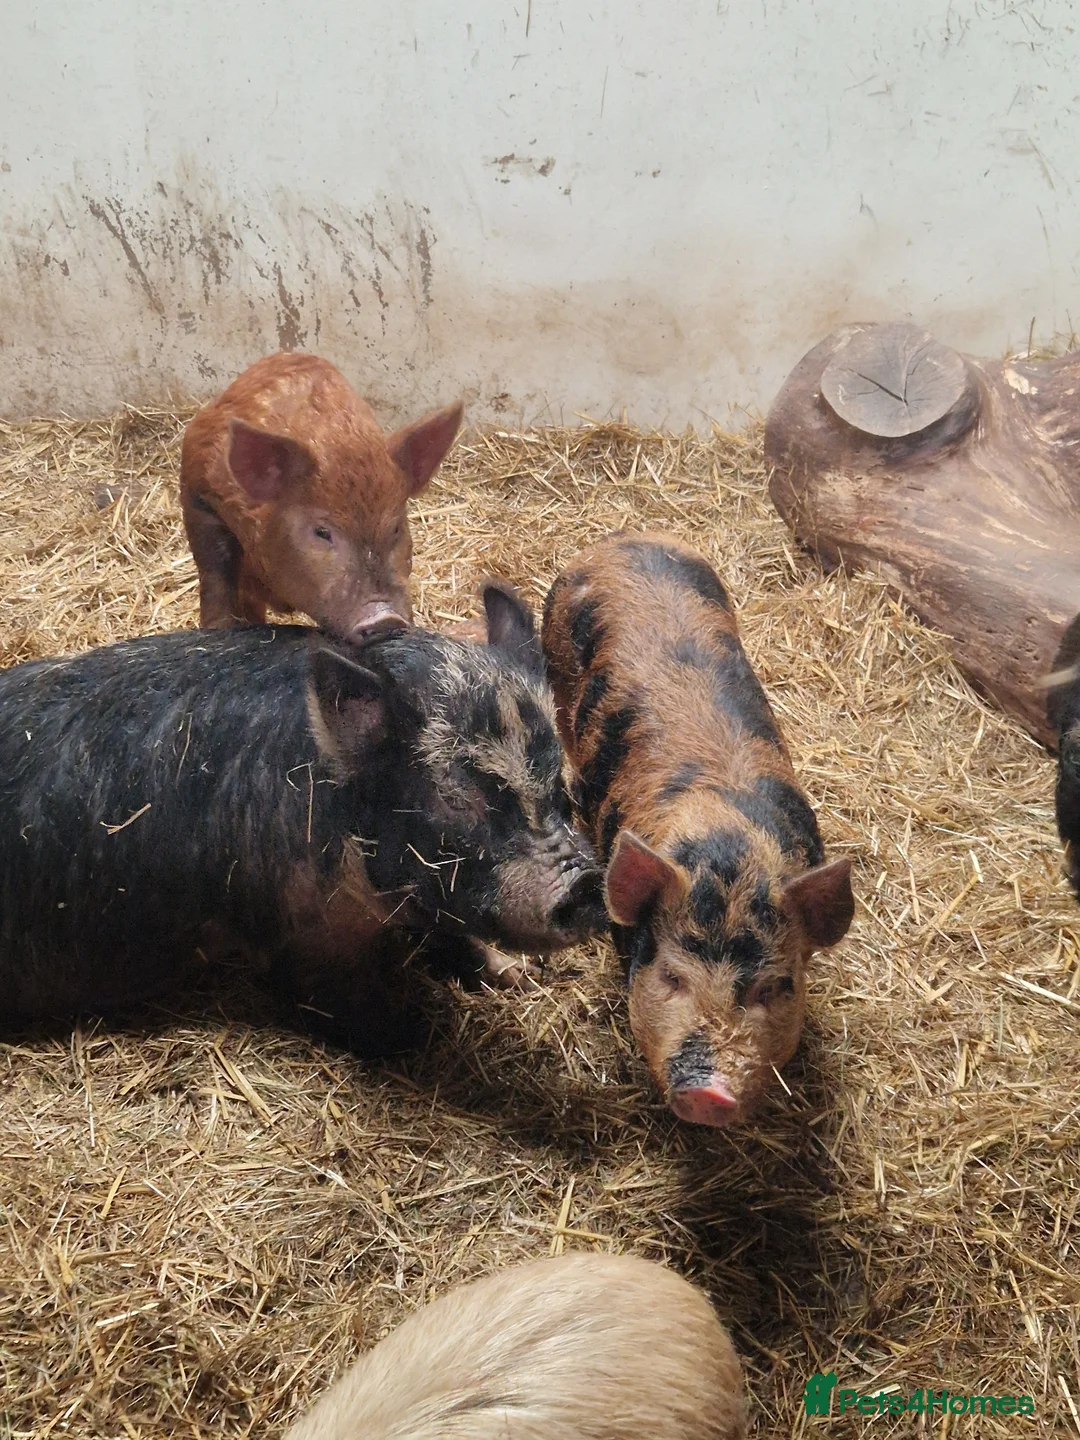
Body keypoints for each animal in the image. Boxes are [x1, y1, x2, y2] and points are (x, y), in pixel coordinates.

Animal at [0, 589, 606, 1052]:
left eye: (561, 787)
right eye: (459, 800)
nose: (586, 880)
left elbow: (456, 937)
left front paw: (520, 976)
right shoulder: (296, 936)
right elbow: (342, 1007)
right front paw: (414, 1035)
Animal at [180, 352, 463, 638]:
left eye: (396, 529)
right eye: (322, 531)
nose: (385, 618)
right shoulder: (199, 494)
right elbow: (216, 573)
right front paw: (219, 628)